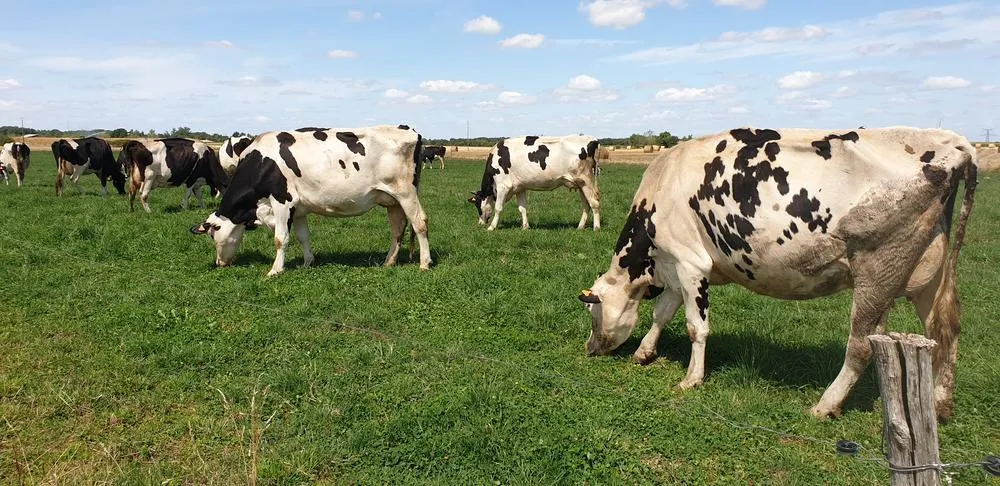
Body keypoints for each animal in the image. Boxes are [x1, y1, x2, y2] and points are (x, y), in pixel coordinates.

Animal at [189, 124, 431, 276]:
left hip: (406, 193)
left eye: (213, 234)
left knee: (420, 223)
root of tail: (409, 129)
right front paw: (308, 263)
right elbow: (303, 237)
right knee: (398, 229)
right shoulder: (299, 209)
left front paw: (275, 270)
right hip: (392, 200)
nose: (220, 263)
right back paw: (388, 262)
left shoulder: (282, 202)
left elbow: (281, 239)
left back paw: (424, 263)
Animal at [469, 135, 601, 231]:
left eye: (477, 204)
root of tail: (593, 139)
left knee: (594, 203)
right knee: (586, 205)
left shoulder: (503, 186)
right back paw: (580, 227)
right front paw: (525, 227)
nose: (480, 223)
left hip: (586, 181)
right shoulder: (520, 188)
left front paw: (491, 227)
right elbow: (522, 208)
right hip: (580, 184)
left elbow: (498, 208)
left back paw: (596, 228)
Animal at [577, 126, 977, 421]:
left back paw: (826, 405)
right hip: (928, 272)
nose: (589, 349)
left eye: (593, 312)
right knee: (945, 329)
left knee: (862, 344)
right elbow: (661, 314)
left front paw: (691, 379)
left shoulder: (690, 265)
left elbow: (695, 327)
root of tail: (954, 143)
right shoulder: (675, 266)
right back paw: (940, 404)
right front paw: (644, 353)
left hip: (879, 272)